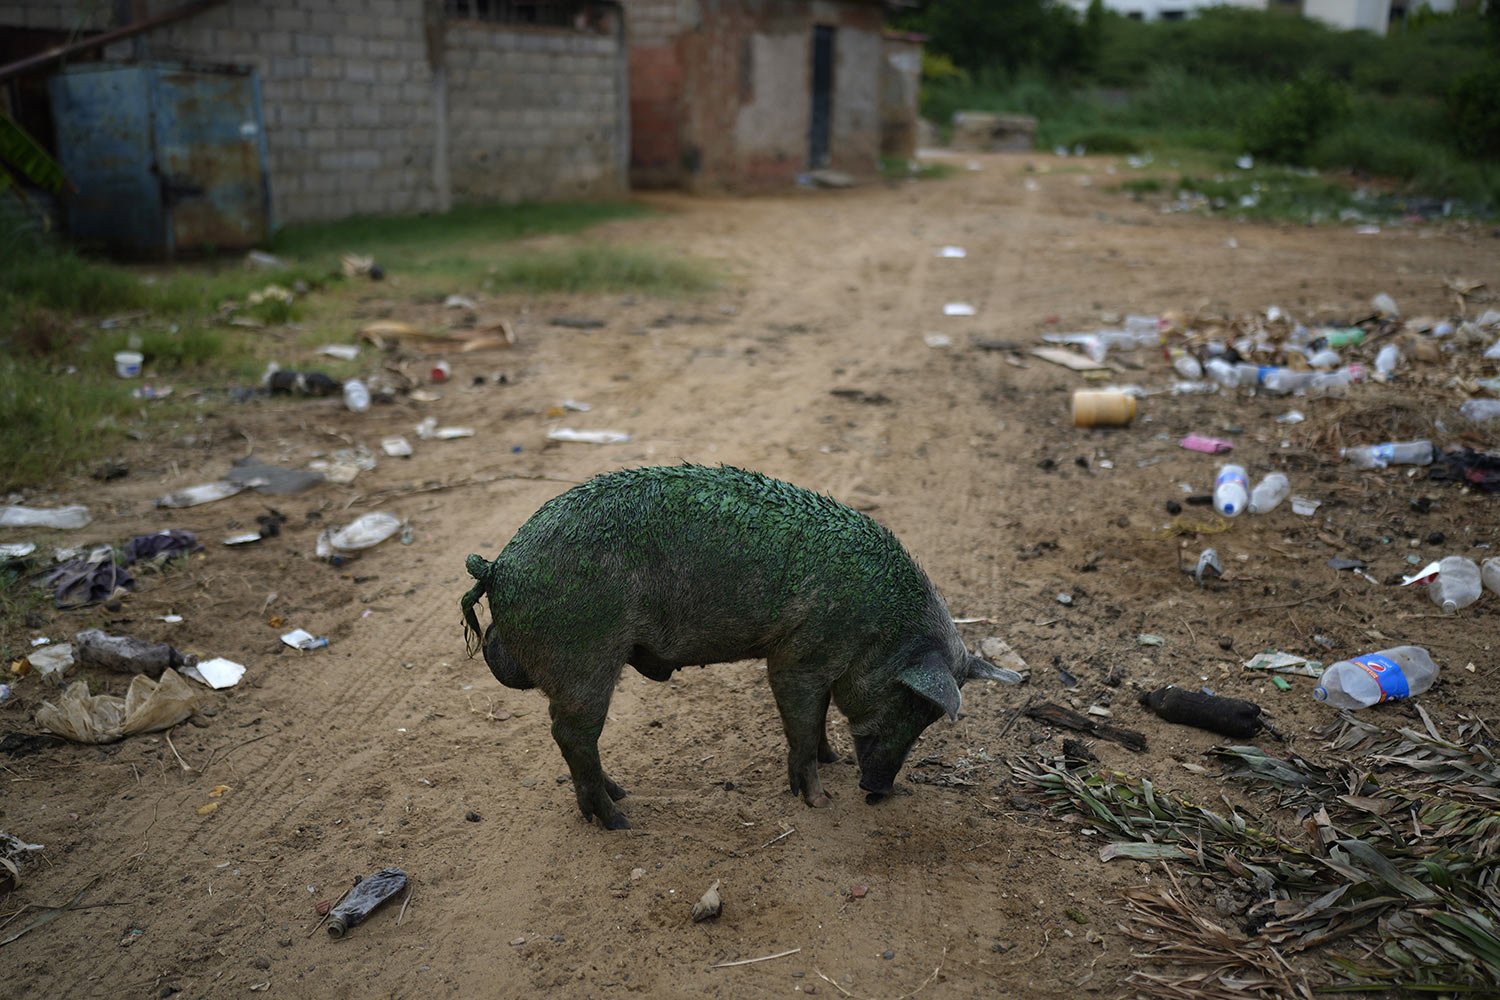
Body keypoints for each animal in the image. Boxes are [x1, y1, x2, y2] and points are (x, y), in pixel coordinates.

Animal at [459, 464, 1020, 833]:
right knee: (571, 734)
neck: (881, 628)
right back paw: (620, 820)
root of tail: (500, 566)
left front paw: (834, 759)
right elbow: (800, 721)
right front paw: (819, 802)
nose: (877, 791)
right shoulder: (797, 655)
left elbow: (817, 718)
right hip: (585, 660)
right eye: (909, 701)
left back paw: (618, 798)